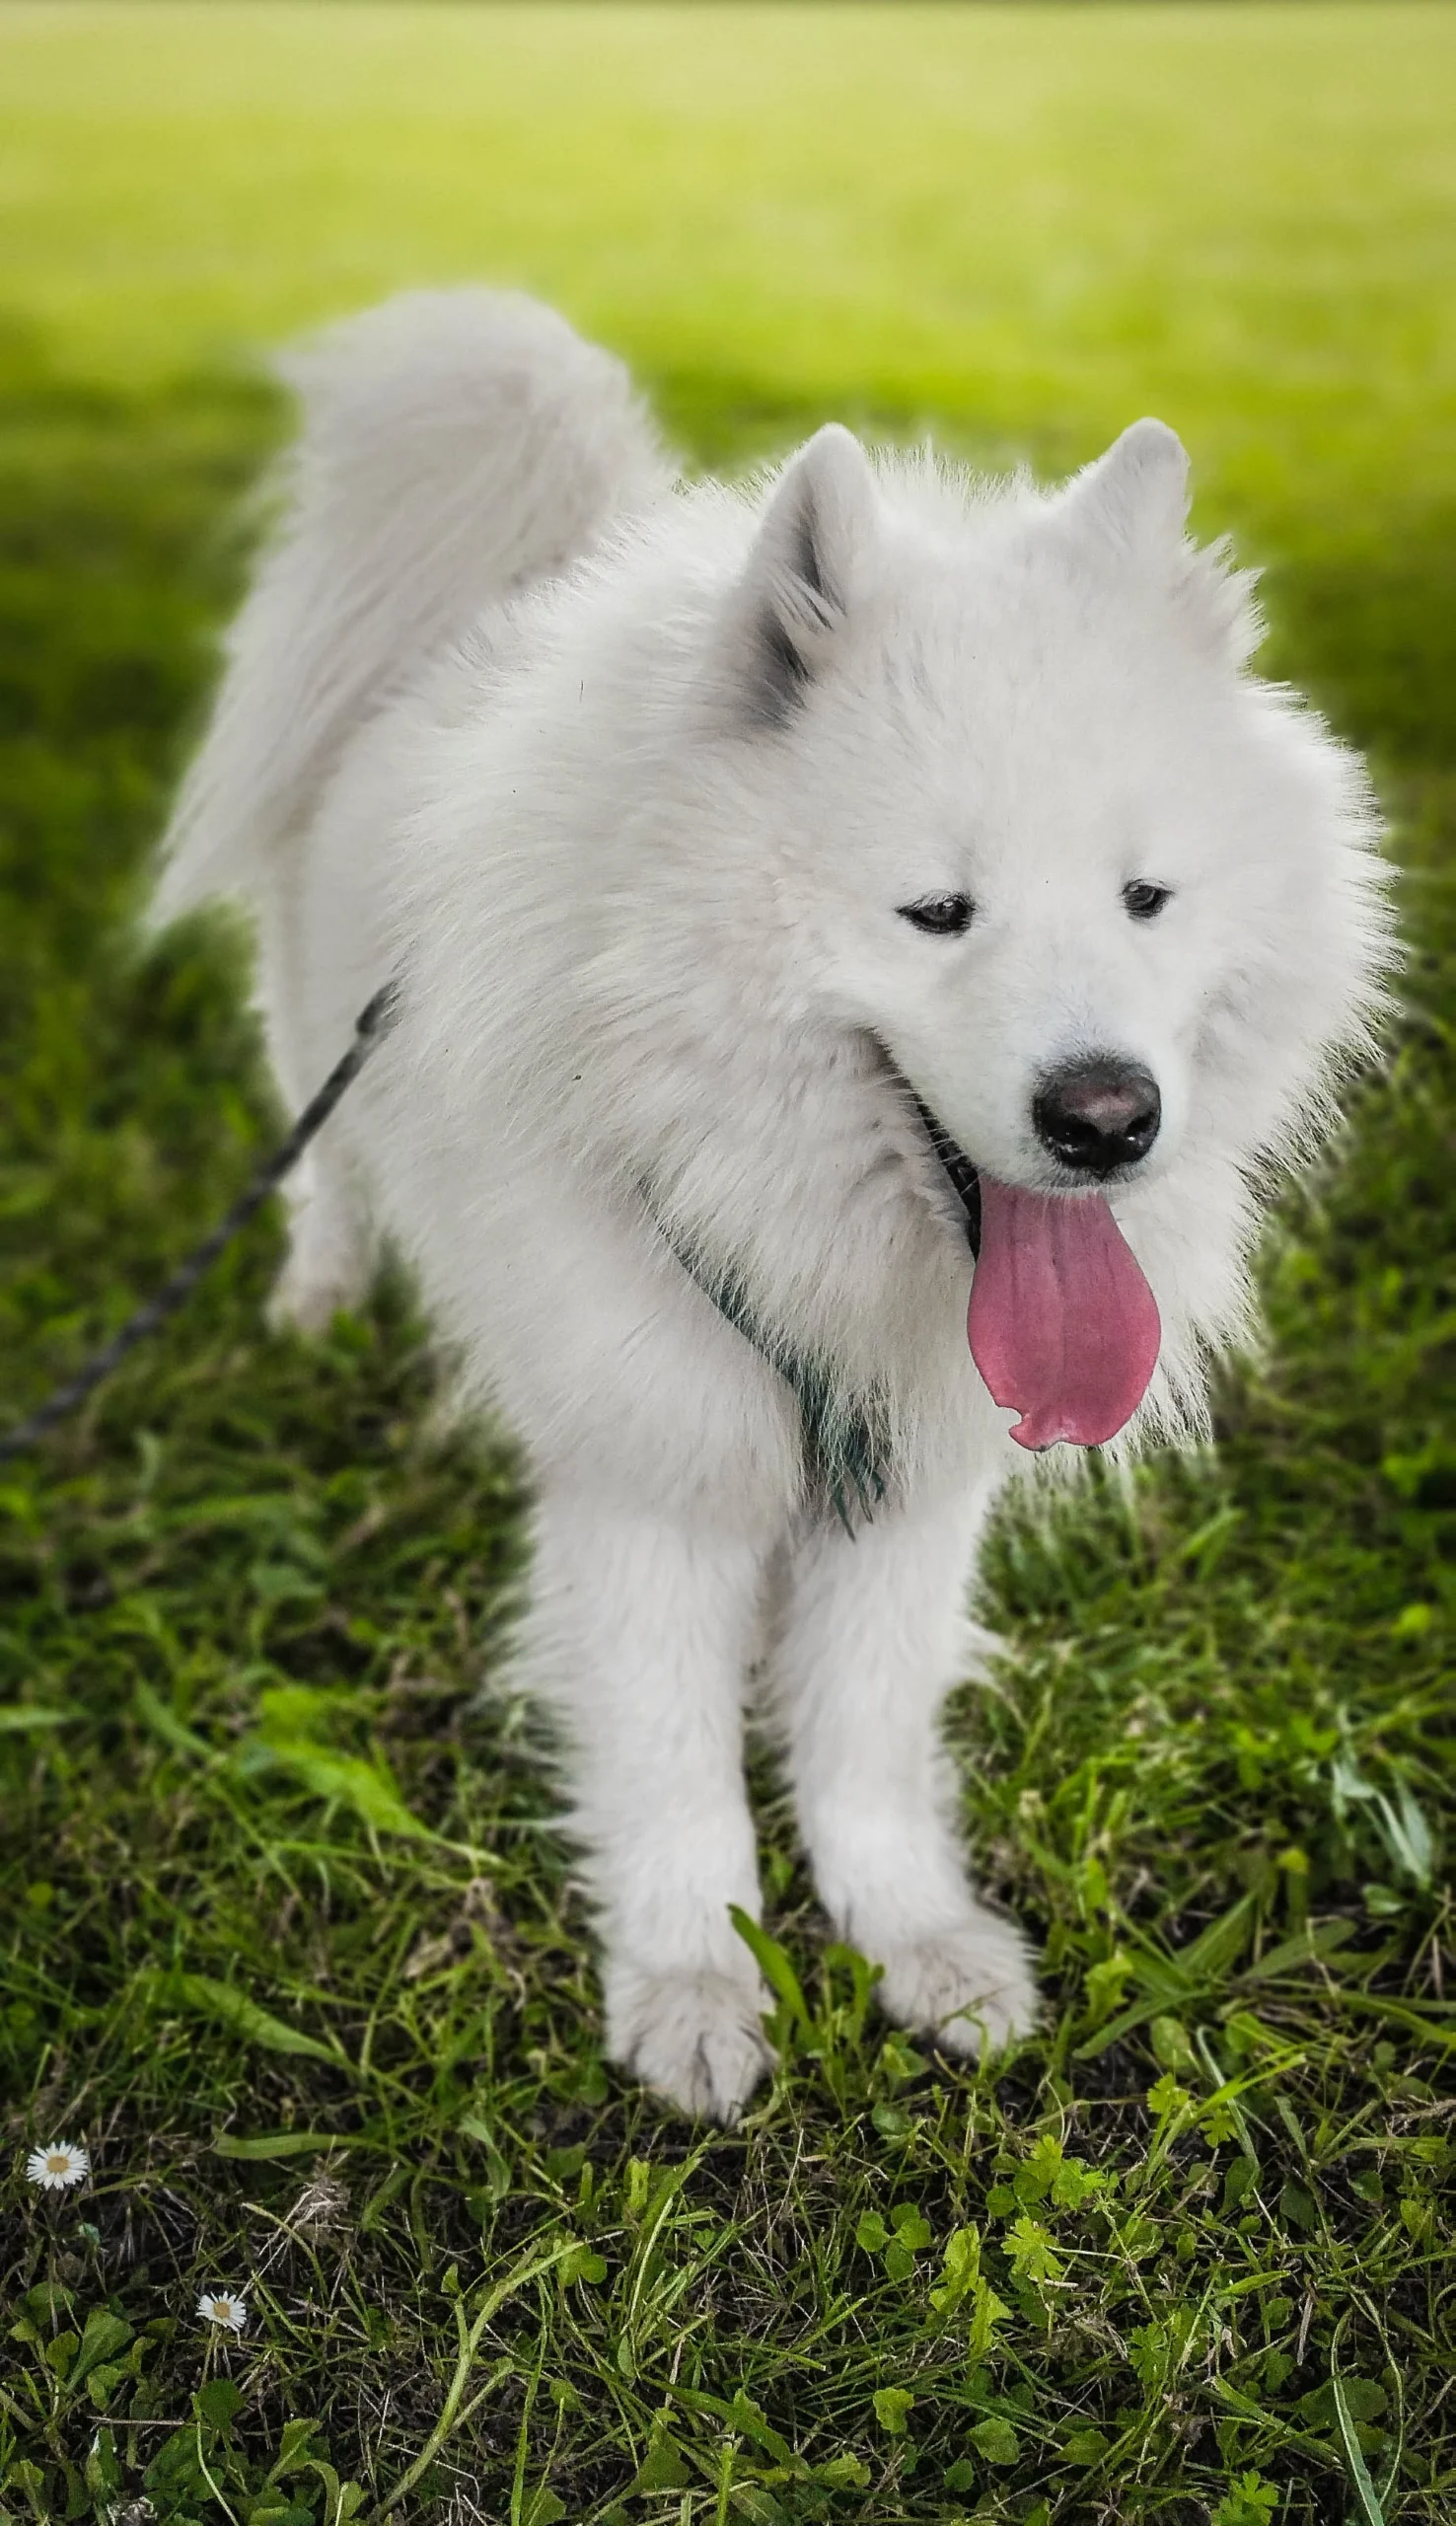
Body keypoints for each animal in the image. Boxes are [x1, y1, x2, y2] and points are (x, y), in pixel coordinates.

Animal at [153, 290, 1393, 2112]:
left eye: (1145, 898)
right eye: (936, 912)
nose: (1108, 1119)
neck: (794, 1231)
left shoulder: (909, 1489)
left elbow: (862, 1745)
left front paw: (920, 1951)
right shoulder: (654, 1479)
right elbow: (676, 1775)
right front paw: (693, 1991)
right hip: (319, 1053)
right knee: (322, 1178)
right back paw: (312, 1306)